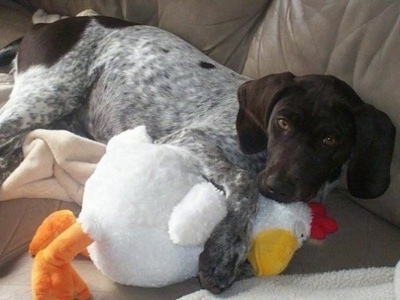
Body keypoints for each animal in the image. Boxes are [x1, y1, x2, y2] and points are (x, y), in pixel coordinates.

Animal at [0, 17, 396, 292]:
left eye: (330, 140)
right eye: (282, 121)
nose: (277, 187)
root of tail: (49, 25)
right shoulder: (192, 138)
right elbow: (243, 181)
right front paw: (225, 251)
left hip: (61, 115)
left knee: (15, 144)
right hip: (47, 96)